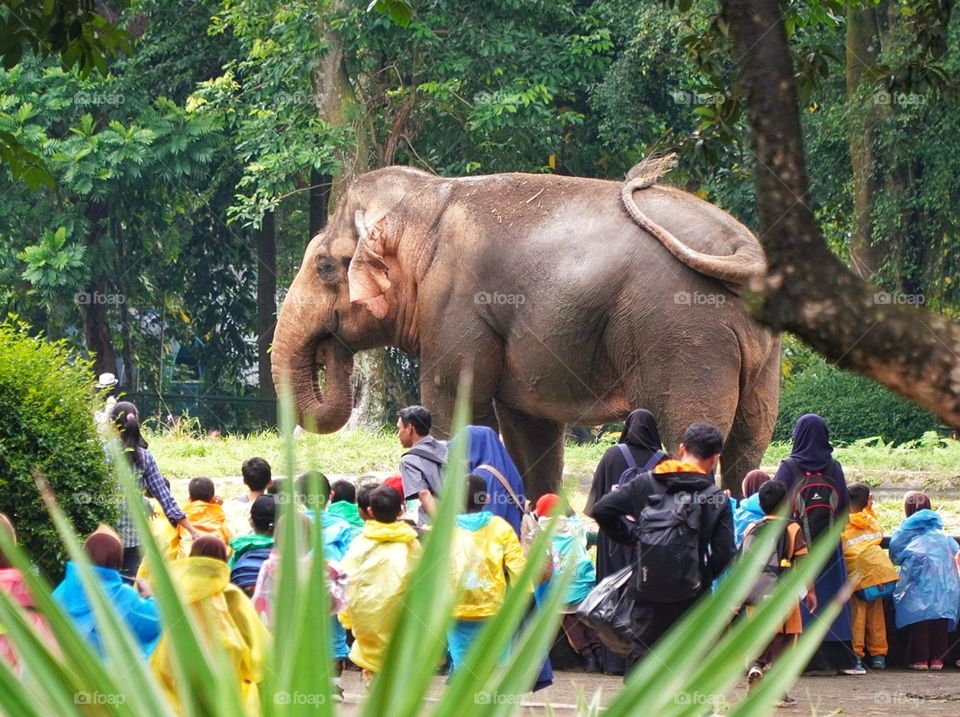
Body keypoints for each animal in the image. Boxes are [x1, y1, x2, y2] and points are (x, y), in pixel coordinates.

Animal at [270, 162, 780, 498]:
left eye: (324, 267)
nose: (329, 350)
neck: (428, 201)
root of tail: (744, 248)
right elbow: (529, 428)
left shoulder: (456, 309)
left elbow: (454, 404)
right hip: (753, 349)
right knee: (749, 442)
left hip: (682, 333)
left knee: (687, 429)